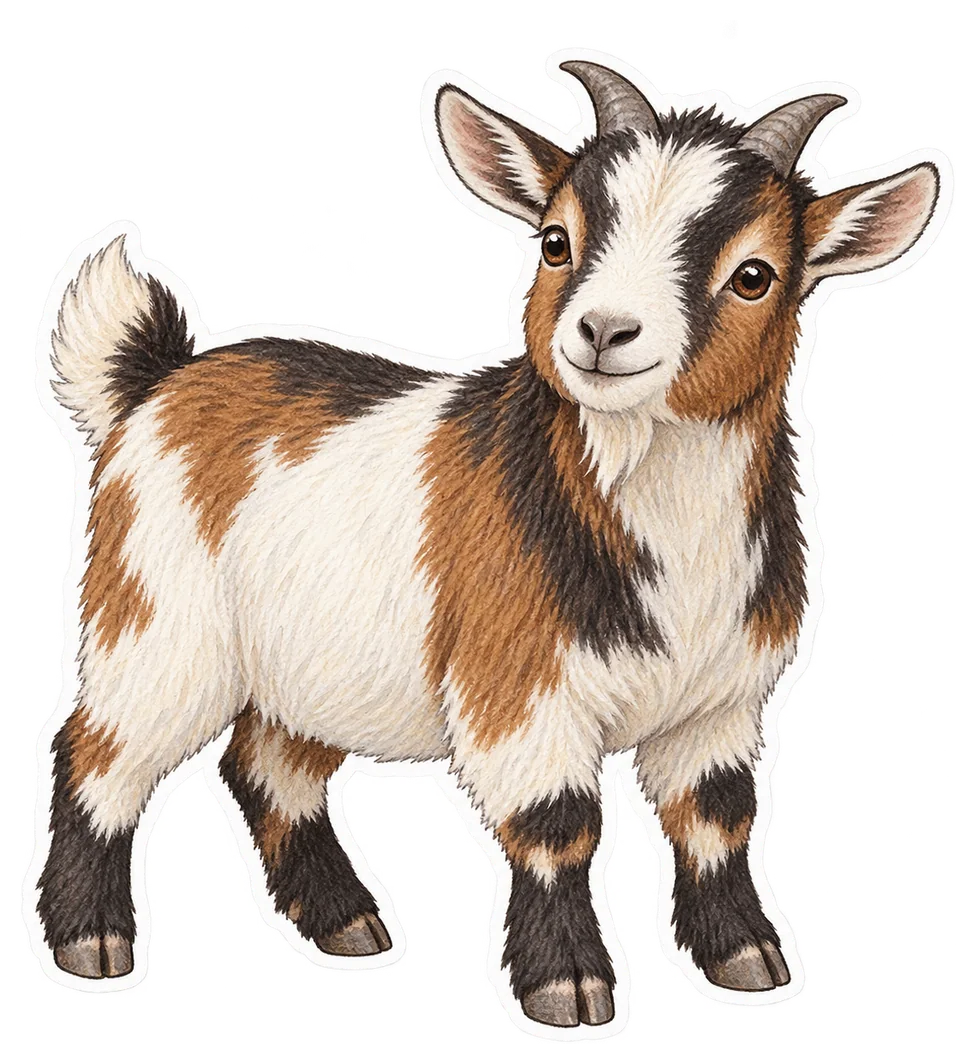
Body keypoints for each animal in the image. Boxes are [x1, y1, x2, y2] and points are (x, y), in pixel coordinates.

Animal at [33, 59, 942, 1027]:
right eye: (556, 241)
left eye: (755, 275)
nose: (604, 332)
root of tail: (155, 381)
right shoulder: (522, 688)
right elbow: (556, 824)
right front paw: (568, 987)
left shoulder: (721, 701)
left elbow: (717, 817)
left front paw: (748, 959)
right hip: (158, 619)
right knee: (101, 751)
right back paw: (91, 942)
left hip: (304, 663)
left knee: (269, 766)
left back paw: (346, 925)